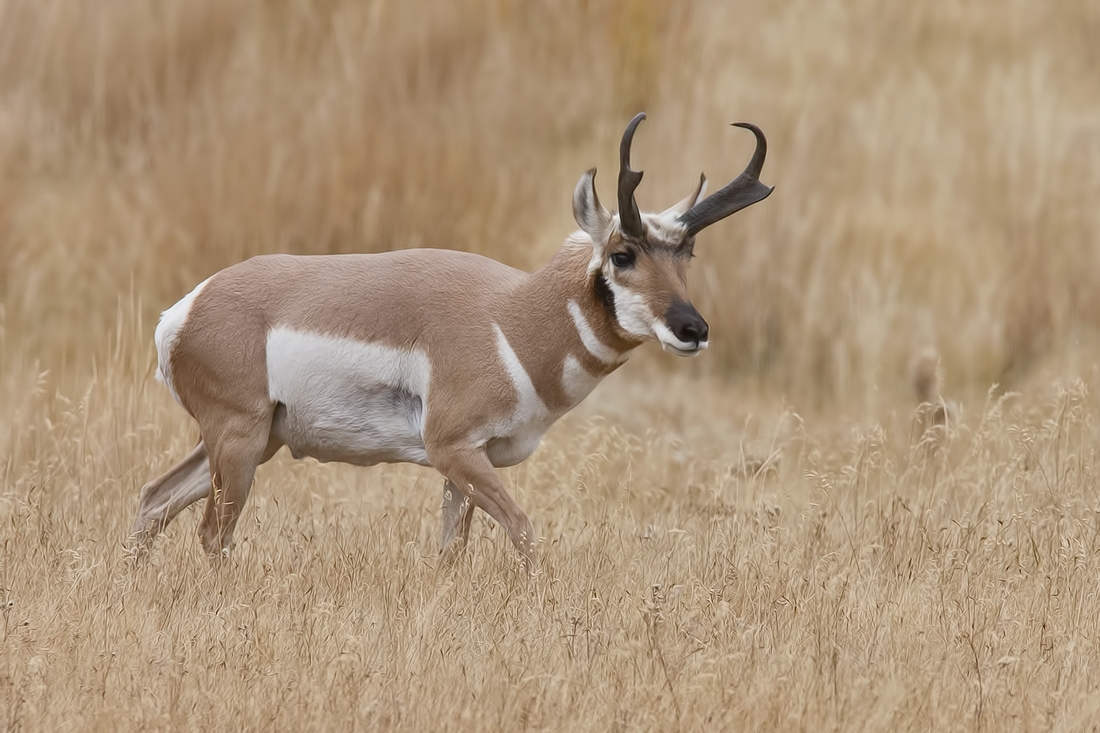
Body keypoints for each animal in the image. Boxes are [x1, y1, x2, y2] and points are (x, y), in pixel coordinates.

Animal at [130, 114, 774, 572]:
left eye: (687, 252)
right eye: (623, 254)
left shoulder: (466, 463)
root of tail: (184, 310)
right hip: (238, 442)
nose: (694, 329)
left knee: (153, 500)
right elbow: (524, 532)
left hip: (252, 440)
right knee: (212, 533)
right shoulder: (454, 451)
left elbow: (451, 555)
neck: (512, 318)